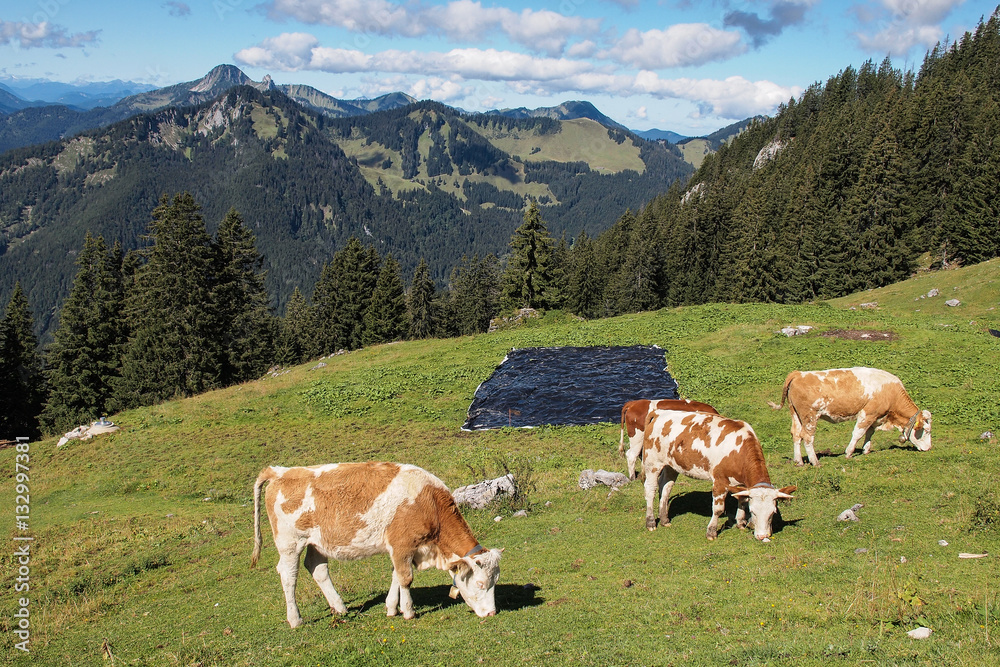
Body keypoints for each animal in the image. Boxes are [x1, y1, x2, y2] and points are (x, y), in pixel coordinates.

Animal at [250, 462, 500, 628]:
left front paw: (391, 608)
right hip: (290, 543)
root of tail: (280, 471)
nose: (492, 613)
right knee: (288, 576)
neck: (428, 501)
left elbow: (395, 575)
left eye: (495, 582)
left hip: (317, 542)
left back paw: (340, 608)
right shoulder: (402, 544)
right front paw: (408, 611)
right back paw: (295, 619)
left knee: (317, 569)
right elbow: (406, 578)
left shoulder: (401, 549)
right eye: (480, 583)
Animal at [640, 408, 796, 544]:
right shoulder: (720, 481)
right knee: (650, 490)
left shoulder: (742, 484)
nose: (762, 536)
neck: (738, 451)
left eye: (772, 513)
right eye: (753, 512)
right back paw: (651, 522)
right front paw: (711, 532)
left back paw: (664, 520)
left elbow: (742, 500)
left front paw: (740, 523)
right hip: (652, 462)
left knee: (665, 487)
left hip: (672, 465)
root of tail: (659, 412)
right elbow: (718, 509)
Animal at [768, 368, 932, 468]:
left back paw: (799, 461)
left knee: (796, 434)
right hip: (810, 416)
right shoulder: (868, 413)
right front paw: (849, 452)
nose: (929, 448)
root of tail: (798, 373)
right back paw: (815, 462)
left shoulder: (876, 416)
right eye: (926, 430)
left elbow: (869, 433)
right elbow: (858, 433)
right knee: (807, 437)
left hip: (795, 414)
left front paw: (866, 450)